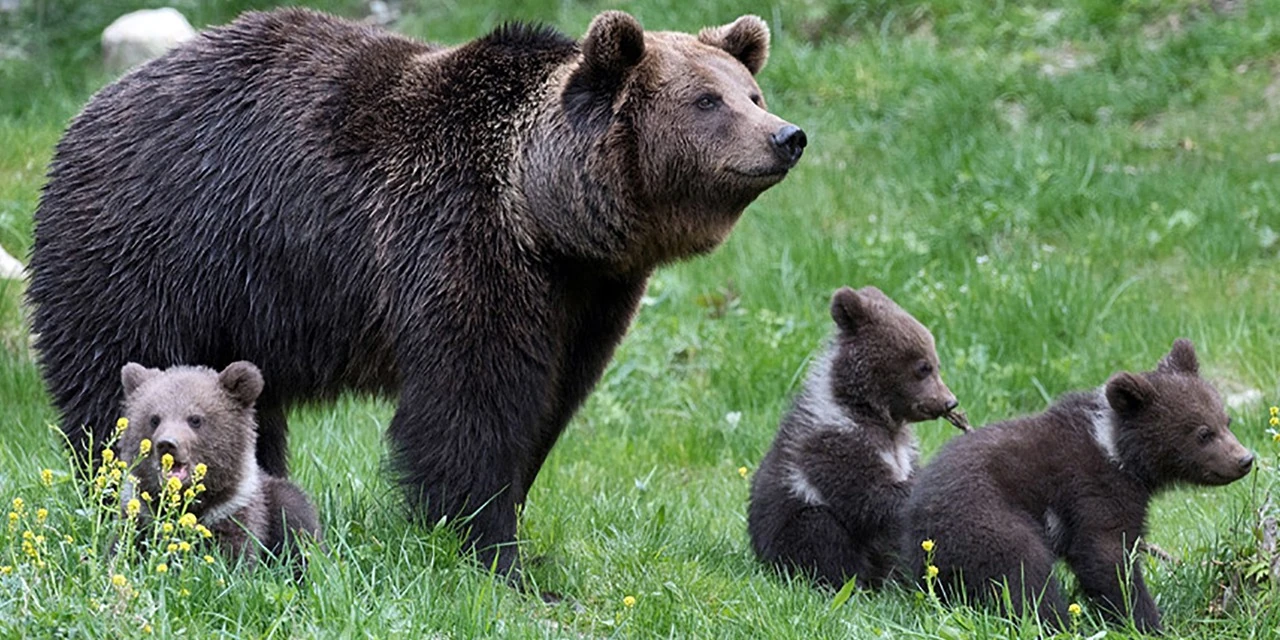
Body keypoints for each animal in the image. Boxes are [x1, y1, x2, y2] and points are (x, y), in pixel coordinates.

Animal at [118, 361, 321, 566]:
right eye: (154, 419)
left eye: (195, 419)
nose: (167, 444)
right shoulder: (142, 515)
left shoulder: (234, 511)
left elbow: (235, 554)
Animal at [748, 286, 962, 589]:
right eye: (923, 367)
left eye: (936, 363)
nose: (949, 402)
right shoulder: (835, 439)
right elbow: (868, 494)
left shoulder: (904, 449)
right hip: (787, 527)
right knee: (820, 532)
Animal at [900, 339, 1254, 633]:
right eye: (1203, 433)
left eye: (1226, 420)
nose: (1245, 459)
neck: (1116, 450)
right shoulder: (1092, 488)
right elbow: (1107, 555)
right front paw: (1145, 619)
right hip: (986, 517)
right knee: (1023, 569)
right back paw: (1056, 622)